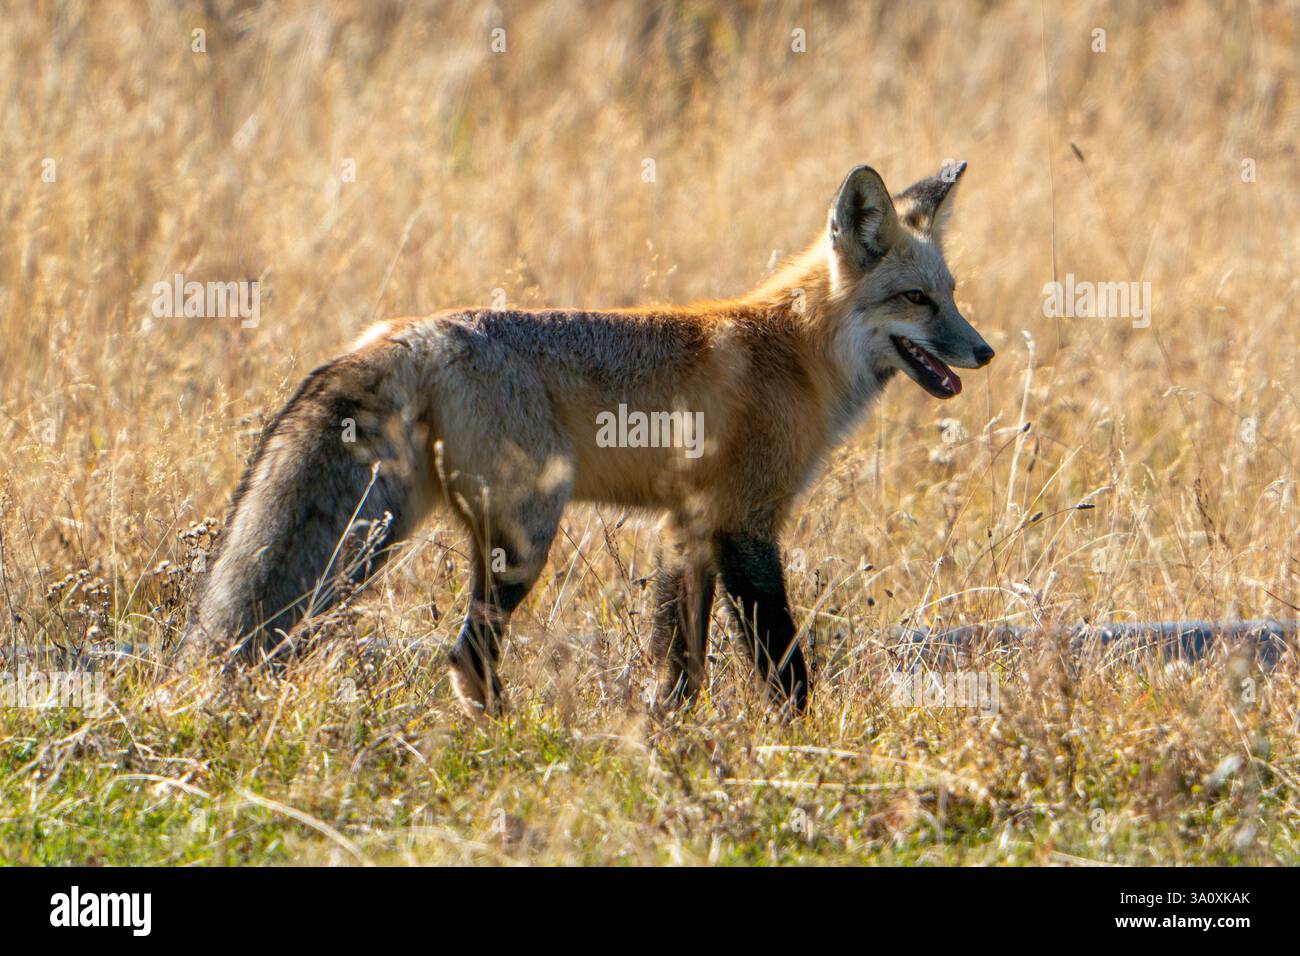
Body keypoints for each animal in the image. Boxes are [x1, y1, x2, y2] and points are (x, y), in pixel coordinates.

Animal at [180, 161, 994, 716]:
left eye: (952, 294)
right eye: (916, 300)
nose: (984, 351)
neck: (798, 354)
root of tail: (411, 332)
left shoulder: (688, 527)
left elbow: (681, 664)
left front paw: (671, 739)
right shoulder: (744, 523)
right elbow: (783, 664)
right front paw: (801, 742)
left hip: (401, 527)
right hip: (522, 538)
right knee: (465, 655)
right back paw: (510, 742)